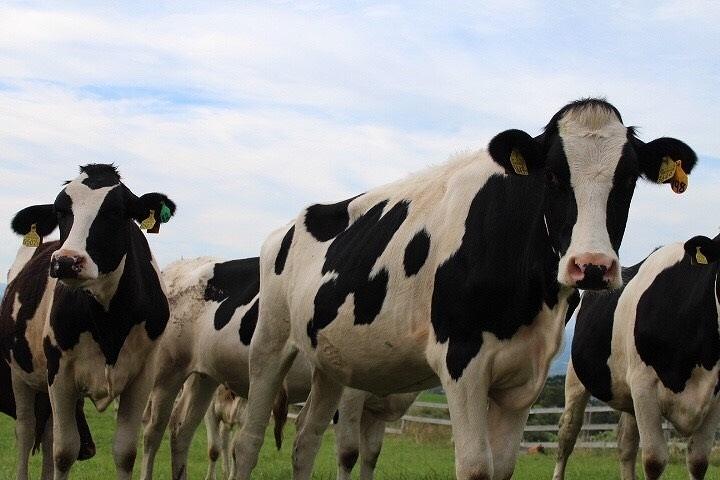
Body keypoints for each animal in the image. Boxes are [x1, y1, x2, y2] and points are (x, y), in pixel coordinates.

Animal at [0, 163, 176, 478]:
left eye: (116, 211)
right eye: (60, 212)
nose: (66, 261)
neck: (110, 322)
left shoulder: (143, 376)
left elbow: (125, 453)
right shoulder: (60, 374)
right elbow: (64, 452)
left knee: (46, 433)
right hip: (20, 373)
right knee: (26, 431)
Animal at [141, 258, 420, 480]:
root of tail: (180, 265)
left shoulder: (376, 408)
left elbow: (371, 455)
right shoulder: (350, 394)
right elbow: (349, 453)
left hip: (204, 377)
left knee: (181, 430)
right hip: (168, 370)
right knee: (153, 430)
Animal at [233, 98, 700, 480]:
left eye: (628, 180)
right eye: (552, 175)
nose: (591, 266)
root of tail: (295, 222)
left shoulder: (525, 376)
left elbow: (503, 468)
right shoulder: (461, 359)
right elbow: (475, 467)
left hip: (331, 362)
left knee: (305, 440)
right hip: (270, 342)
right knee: (247, 442)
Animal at [552, 236, 720, 480]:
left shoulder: (715, 396)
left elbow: (698, 462)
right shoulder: (644, 386)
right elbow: (654, 460)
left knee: (626, 444)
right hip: (576, 379)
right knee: (567, 434)